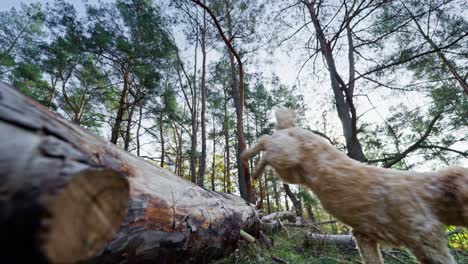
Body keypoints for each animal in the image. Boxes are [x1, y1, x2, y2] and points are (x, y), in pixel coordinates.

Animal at [243, 108, 466, 264]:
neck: (432, 195)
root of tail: (291, 127)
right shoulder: (426, 243)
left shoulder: (364, 236)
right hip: (284, 157)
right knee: (264, 142)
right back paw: (248, 163)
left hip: (290, 172)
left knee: (267, 145)